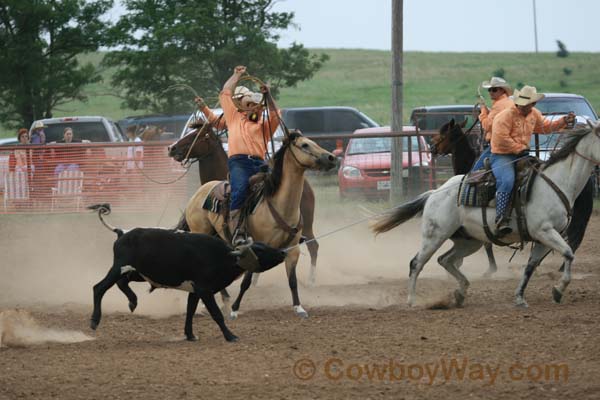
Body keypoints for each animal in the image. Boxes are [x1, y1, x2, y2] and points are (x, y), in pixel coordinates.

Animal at [166, 123, 322, 286]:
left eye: (196, 135)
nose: (171, 148)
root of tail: (308, 188)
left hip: (307, 226)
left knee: (313, 246)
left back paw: (311, 280)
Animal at [178, 132, 338, 318]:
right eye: (305, 145)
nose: (332, 157)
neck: (279, 205)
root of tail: (198, 193)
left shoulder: (293, 250)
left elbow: (292, 281)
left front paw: (299, 308)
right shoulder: (253, 248)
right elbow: (246, 281)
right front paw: (235, 309)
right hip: (202, 232)